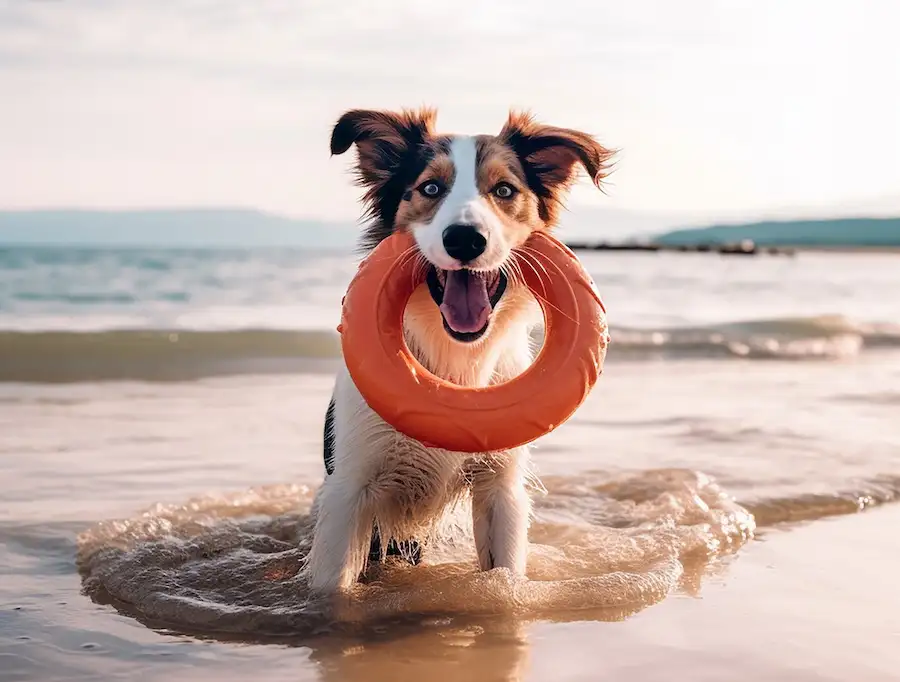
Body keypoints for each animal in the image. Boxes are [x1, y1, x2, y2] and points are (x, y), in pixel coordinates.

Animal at [306, 106, 616, 588]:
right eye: (431, 188)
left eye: (504, 190)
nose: (465, 238)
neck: (455, 362)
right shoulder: (349, 489)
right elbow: (333, 585)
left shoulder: (500, 487)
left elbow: (505, 569)